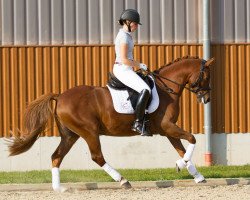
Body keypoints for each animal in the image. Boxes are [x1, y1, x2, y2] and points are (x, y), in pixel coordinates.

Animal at [7, 55, 215, 192]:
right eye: (206, 76)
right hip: (89, 132)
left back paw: (59, 189)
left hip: (70, 134)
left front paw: (197, 175)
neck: (166, 89)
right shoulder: (167, 127)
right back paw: (122, 180)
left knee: (57, 156)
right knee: (97, 156)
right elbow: (192, 139)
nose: (206, 99)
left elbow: (183, 148)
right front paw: (181, 165)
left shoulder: (168, 130)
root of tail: (60, 96)